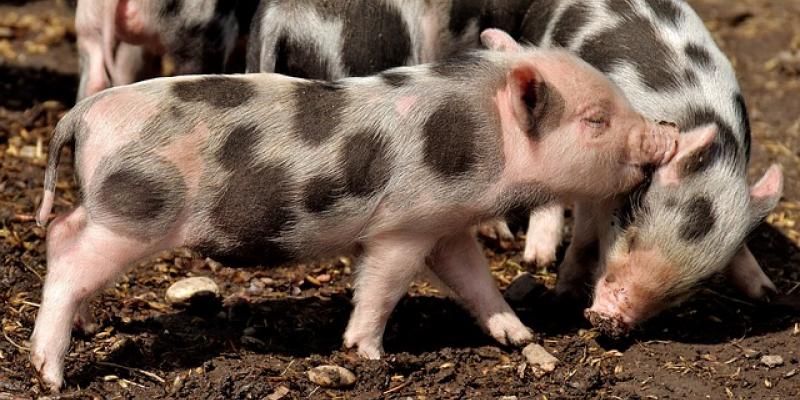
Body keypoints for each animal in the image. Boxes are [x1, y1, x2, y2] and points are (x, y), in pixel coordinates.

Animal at [31, 30, 684, 390]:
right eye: (595, 119)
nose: (668, 134)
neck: (480, 138)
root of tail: (82, 114)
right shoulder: (404, 225)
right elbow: (381, 287)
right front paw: (369, 355)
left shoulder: (446, 225)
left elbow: (476, 283)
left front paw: (519, 335)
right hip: (134, 209)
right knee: (66, 254)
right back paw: (51, 374)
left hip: (113, 209)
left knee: (65, 236)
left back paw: (87, 330)